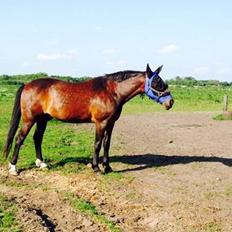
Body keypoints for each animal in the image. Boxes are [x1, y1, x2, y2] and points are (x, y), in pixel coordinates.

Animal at [2, 64, 173, 175]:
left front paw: (108, 167)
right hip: (29, 119)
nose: (170, 102)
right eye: (157, 82)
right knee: (19, 139)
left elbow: (106, 144)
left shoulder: (111, 124)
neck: (112, 92)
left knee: (37, 138)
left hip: (42, 119)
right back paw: (13, 168)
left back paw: (42, 164)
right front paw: (96, 168)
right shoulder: (101, 123)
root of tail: (27, 85)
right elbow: (97, 144)